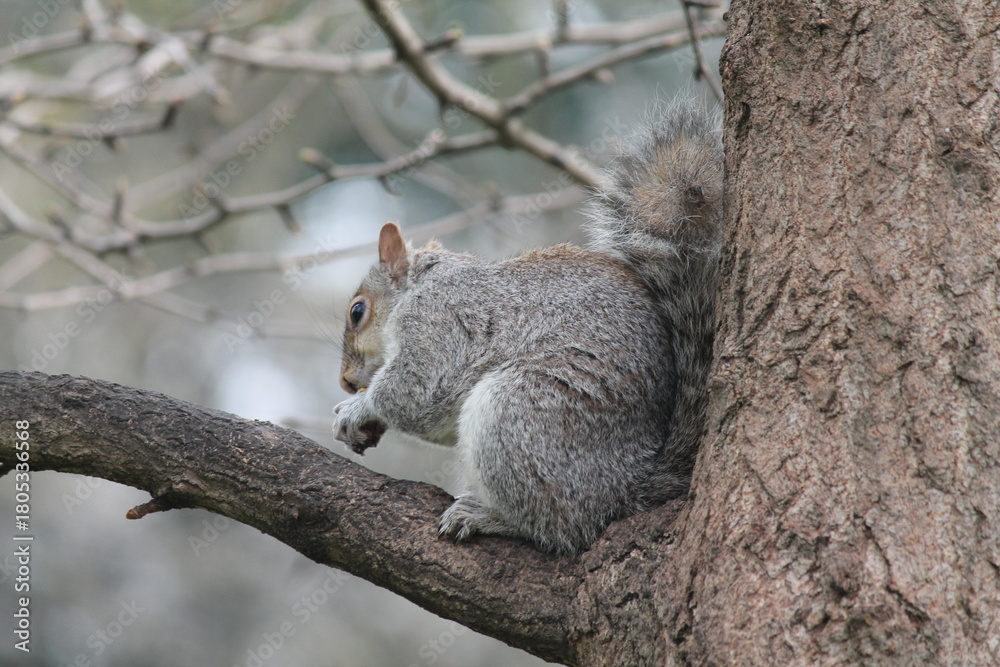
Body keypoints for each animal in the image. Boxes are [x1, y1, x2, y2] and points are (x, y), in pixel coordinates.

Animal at [333, 103, 723, 555]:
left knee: (564, 526)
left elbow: (416, 391)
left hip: (519, 413)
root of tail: (627, 483)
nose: (346, 382)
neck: (422, 283)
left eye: (357, 311)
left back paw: (489, 517)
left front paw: (358, 409)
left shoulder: (439, 321)